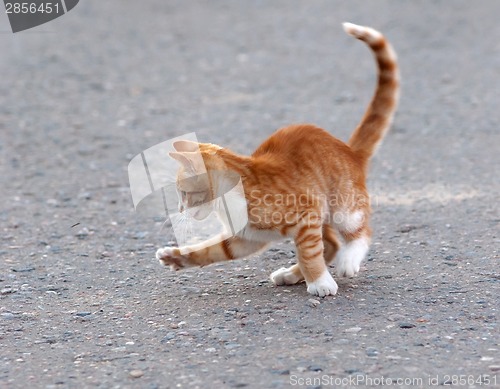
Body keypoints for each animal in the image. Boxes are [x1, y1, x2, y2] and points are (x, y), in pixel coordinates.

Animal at [155, 22, 398, 296]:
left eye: (183, 193)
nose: (179, 209)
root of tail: (349, 150)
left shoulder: (306, 214)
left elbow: (308, 252)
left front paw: (319, 281)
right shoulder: (245, 238)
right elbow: (211, 250)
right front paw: (176, 257)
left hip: (343, 207)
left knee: (359, 232)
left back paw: (347, 260)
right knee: (331, 243)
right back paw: (290, 274)